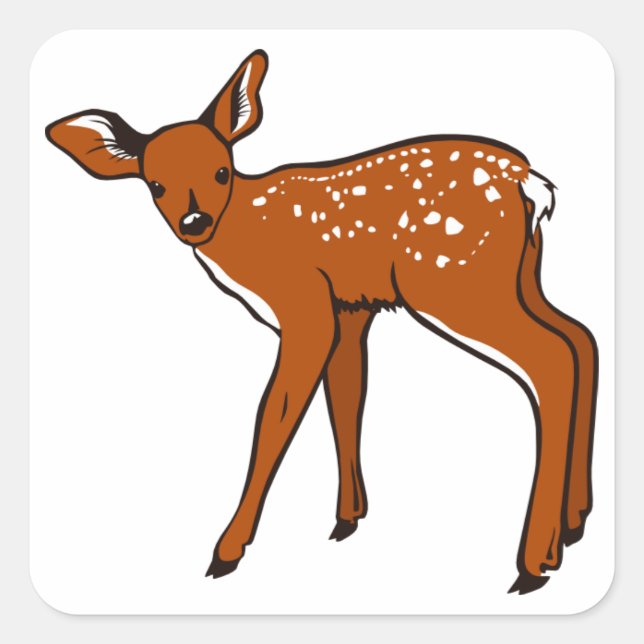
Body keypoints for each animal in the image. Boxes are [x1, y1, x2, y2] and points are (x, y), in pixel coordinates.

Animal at [46, 49, 598, 595]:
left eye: (223, 171)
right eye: (155, 185)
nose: (195, 223)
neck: (248, 233)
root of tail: (530, 182)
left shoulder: (304, 305)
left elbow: (273, 415)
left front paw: (226, 552)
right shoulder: (350, 310)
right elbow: (347, 397)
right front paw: (347, 518)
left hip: (452, 281)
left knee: (551, 357)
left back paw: (534, 563)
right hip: (520, 277)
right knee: (581, 337)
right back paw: (574, 524)